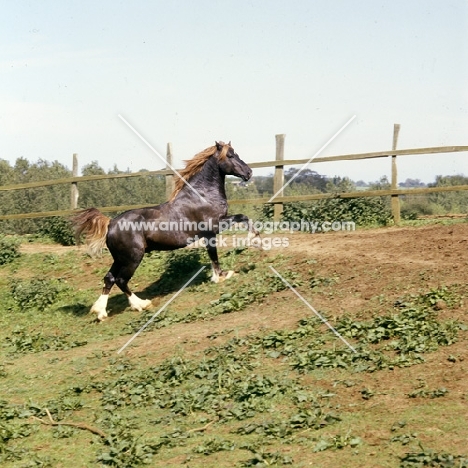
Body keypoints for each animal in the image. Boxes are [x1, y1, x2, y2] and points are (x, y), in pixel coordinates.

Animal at [71, 140, 258, 322]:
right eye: (231, 155)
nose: (249, 172)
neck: (202, 196)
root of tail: (110, 224)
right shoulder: (212, 229)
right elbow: (235, 227)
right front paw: (224, 273)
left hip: (120, 258)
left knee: (109, 278)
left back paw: (100, 312)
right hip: (133, 258)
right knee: (121, 280)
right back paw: (141, 304)